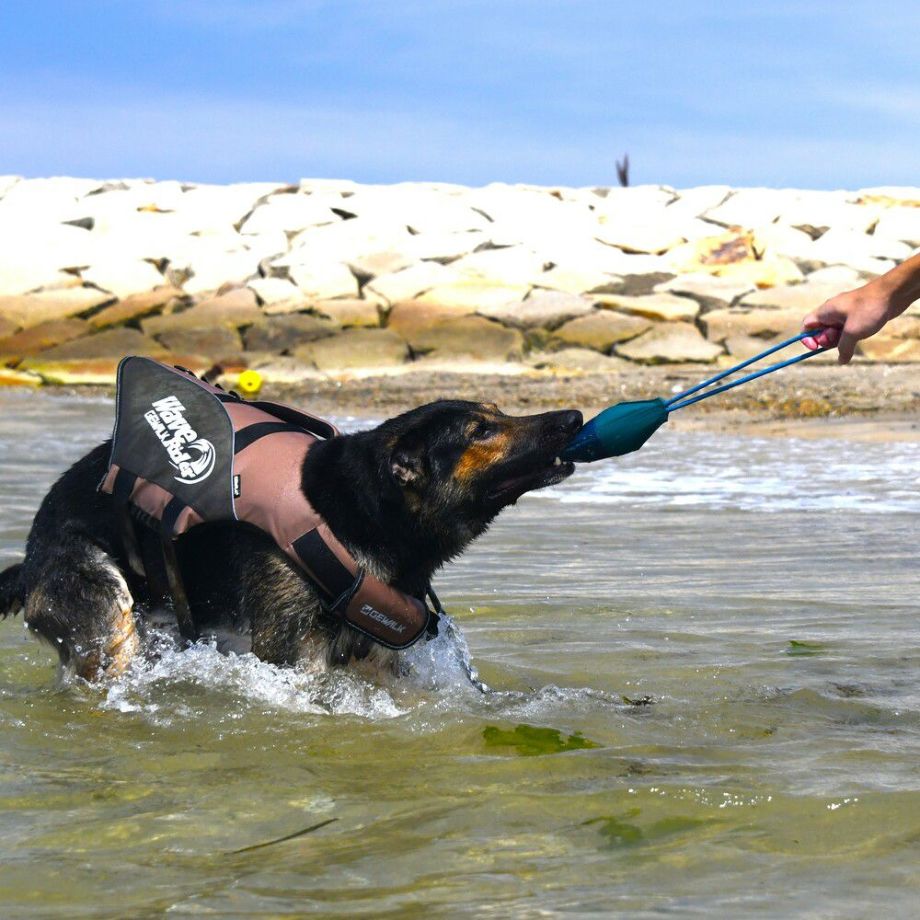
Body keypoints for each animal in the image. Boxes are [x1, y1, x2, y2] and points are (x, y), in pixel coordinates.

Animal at [0, 399, 581, 681]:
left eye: (499, 415)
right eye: (481, 431)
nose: (573, 416)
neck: (357, 514)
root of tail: (27, 562)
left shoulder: (380, 659)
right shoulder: (292, 657)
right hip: (109, 617)